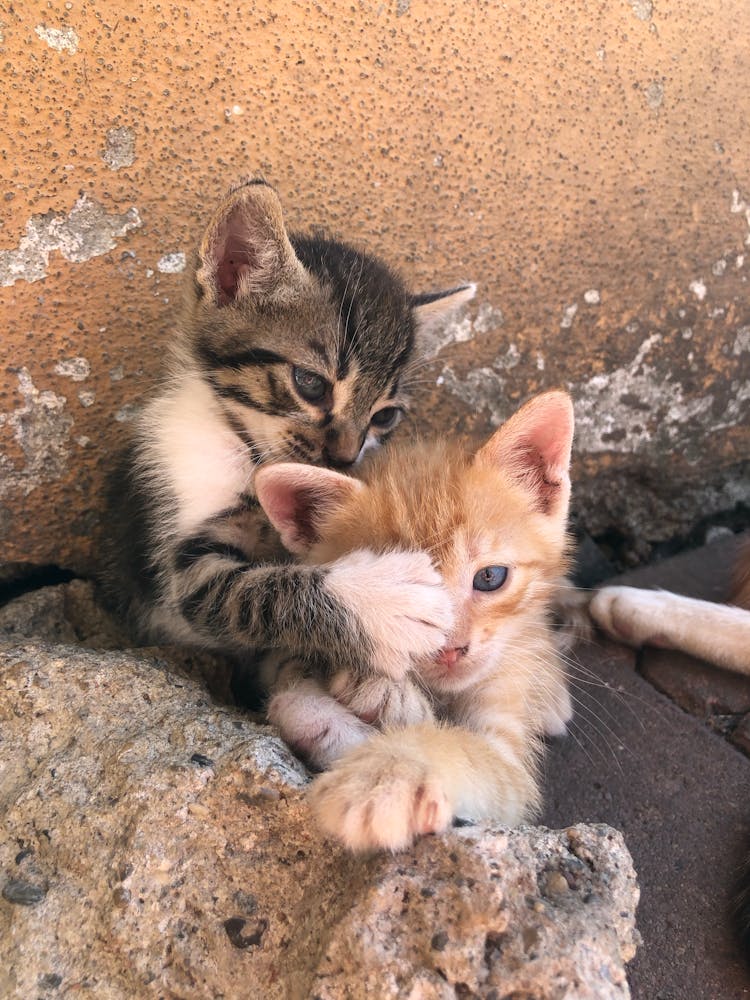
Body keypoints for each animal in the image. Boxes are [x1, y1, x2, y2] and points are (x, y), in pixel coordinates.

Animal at [104, 180, 476, 696]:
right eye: (311, 384)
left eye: (384, 416)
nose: (346, 457)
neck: (250, 451)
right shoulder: (181, 567)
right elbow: (253, 592)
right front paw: (379, 602)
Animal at [254, 386, 576, 848]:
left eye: (490, 577)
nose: (450, 650)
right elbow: (287, 679)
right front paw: (347, 711)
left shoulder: (508, 755)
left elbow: (466, 750)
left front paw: (387, 772)